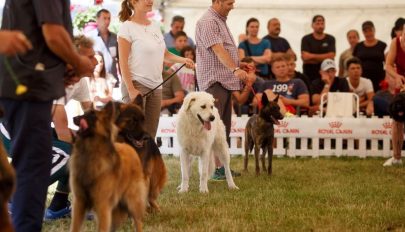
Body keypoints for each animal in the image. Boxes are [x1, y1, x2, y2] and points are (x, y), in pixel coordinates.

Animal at [70, 103, 147, 232]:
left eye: (92, 114)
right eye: (84, 113)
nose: (73, 118)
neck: (90, 153)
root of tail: (129, 146)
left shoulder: (102, 205)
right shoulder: (79, 202)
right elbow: (74, 228)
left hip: (133, 201)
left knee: (138, 222)